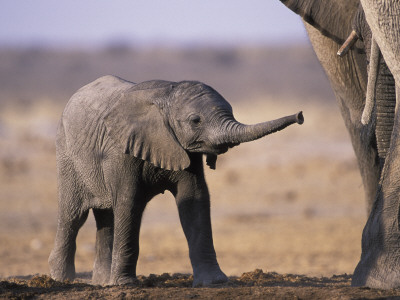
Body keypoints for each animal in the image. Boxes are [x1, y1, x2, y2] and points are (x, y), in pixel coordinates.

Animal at [48, 75, 302, 286]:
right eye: (195, 121)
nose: (300, 116)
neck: (166, 95)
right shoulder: (121, 150)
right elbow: (129, 204)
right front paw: (125, 285)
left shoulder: (185, 150)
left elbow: (194, 200)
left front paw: (214, 282)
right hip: (67, 155)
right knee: (73, 216)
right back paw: (62, 280)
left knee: (106, 216)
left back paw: (101, 283)